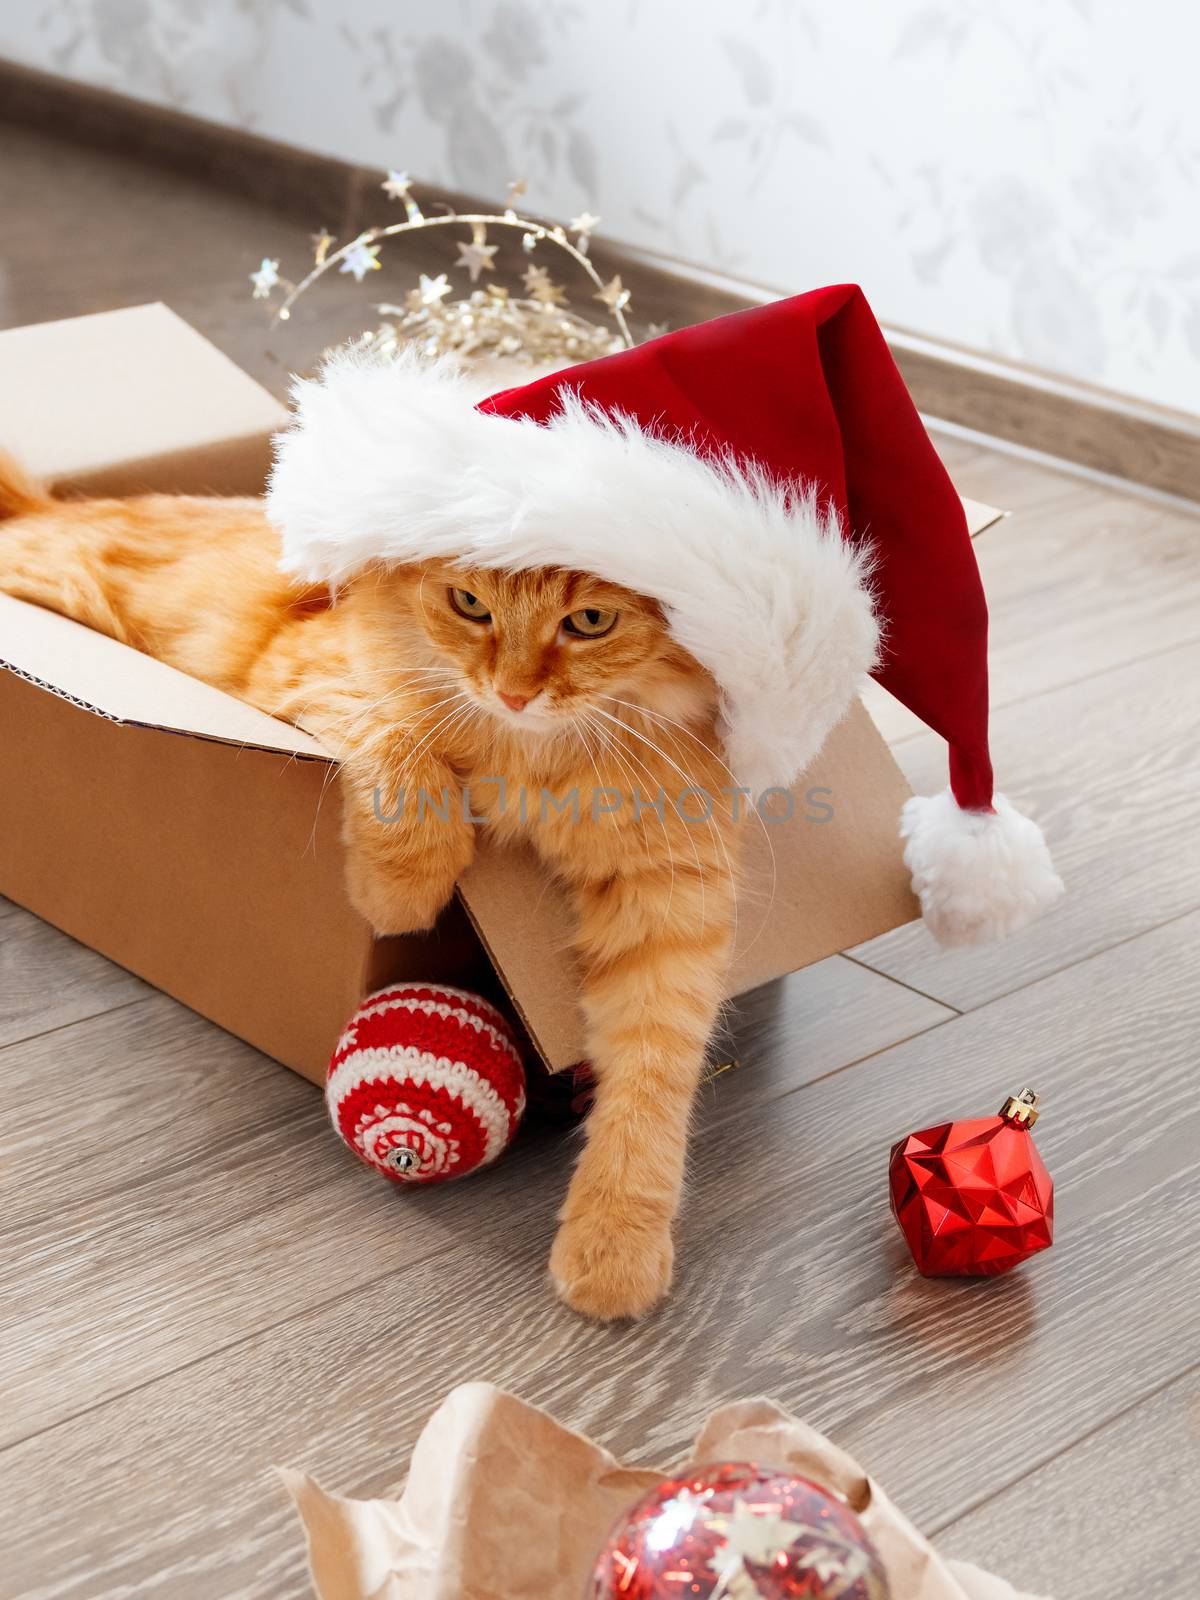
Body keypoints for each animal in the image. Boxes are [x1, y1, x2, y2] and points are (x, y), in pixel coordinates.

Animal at [0, 454, 742, 1324]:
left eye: (590, 621)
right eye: (469, 605)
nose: (513, 693)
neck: (535, 759)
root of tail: (39, 508)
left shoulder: (672, 900)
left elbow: (652, 1087)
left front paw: (614, 1248)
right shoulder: (324, 673)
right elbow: (405, 759)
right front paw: (399, 898)